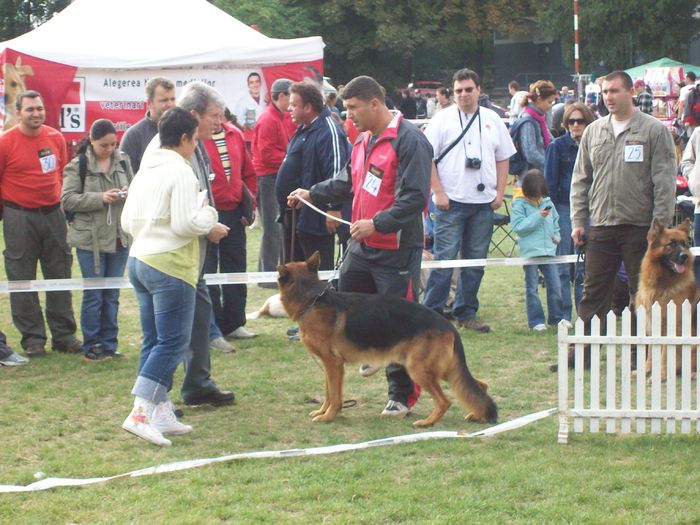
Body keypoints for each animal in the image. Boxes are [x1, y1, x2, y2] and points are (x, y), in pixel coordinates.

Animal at [274, 252, 498, 428]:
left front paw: (328, 416)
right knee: (480, 385)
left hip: (419, 370)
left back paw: (428, 422)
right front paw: (323, 411)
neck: (312, 300)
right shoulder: (331, 367)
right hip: (445, 370)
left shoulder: (333, 364)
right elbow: (329, 392)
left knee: (445, 401)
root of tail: (449, 325)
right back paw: (477, 414)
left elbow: (335, 395)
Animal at [636, 218, 696, 376]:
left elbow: (665, 353)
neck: (660, 287)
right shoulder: (651, 324)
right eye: (671, 244)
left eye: (684, 244)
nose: (684, 256)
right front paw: (647, 369)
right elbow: (651, 350)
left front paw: (662, 374)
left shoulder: (671, 328)